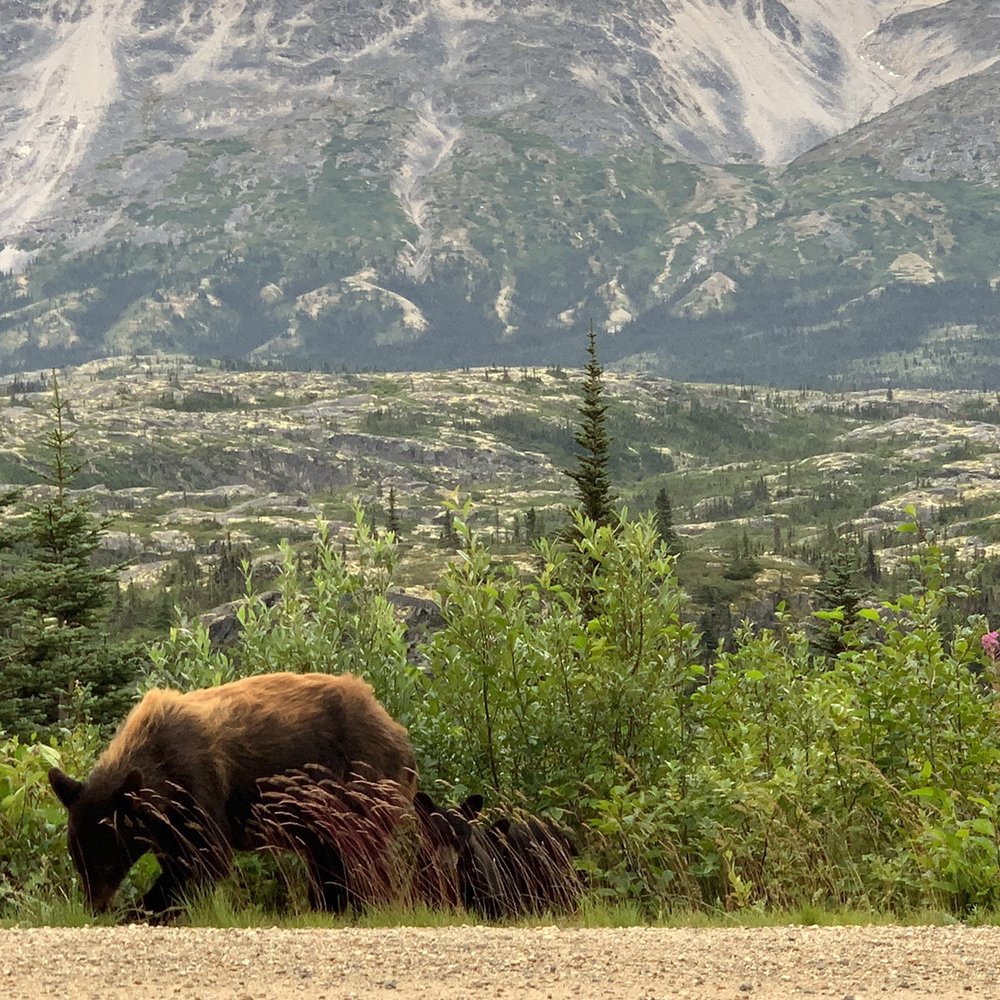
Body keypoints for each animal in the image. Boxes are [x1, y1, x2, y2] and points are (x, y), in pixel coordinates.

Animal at [48, 671, 417, 919]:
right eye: (78, 858)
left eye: (104, 859)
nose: (95, 905)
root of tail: (393, 724)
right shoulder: (167, 823)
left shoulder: (197, 783)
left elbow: (204, 858)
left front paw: (142, 909)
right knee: (327, 853)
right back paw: (331, 904)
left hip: (359, 774)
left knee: (357, 848)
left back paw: (362, 903)